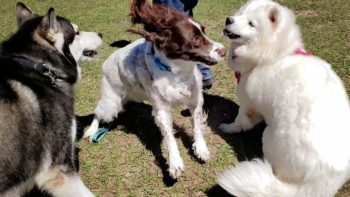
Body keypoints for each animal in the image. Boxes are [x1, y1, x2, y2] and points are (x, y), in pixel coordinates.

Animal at [217, 0, 350, 196]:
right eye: (240, 14)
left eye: (251, 24)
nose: (228, 19)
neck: (274, 54)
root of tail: (320, 181)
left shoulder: (248, 104)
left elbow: (240, 123)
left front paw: (228, 128)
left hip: (268, 136)